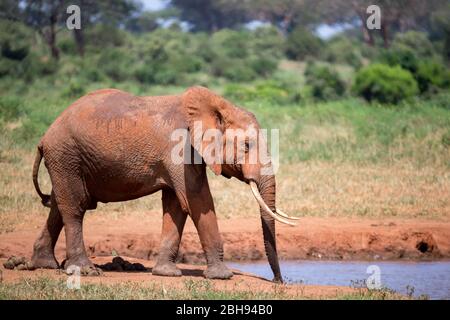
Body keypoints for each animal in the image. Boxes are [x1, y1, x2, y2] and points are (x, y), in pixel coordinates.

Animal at [31, 85, 298, 282]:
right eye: (246, 146)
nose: (278, 281)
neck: (217, 106)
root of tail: (45, 136)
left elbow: (176, 206)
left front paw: (166, 273)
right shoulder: (179, 147)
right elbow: (197, 201)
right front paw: (222, 276)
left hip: (66, 160)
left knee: (59, 205)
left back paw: (44, 265)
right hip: (66, 155)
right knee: (75, 207)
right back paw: (85, 271)